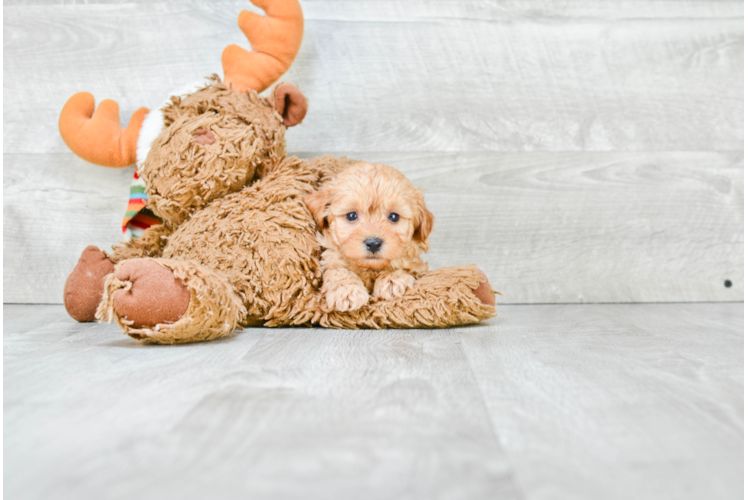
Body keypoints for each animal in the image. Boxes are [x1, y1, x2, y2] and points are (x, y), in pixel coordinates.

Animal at [302, 163, 436, 312]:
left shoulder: (418, 267)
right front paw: (347, 291)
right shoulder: (331, 258)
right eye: (351, 216)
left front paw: (393, 279)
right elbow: (337, 271)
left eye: (394, 216)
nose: (373, 243)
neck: (369, 268)